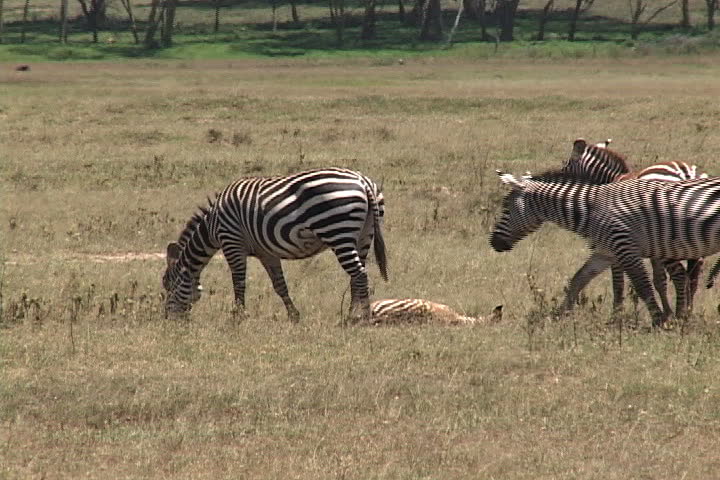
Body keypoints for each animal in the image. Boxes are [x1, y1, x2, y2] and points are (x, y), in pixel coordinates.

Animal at [163, 168, 388, 322]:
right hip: (363, 235)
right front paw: (293, 315)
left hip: (337, 230)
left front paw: (238, 317)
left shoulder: (232, 242)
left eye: (168, 286)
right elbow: (280, 285)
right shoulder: (266, 253)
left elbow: (238, 282)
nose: (167, 320)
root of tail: (363, 181)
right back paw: (351, 315)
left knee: (360, 274)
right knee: (355, 277)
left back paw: (363, 317)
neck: (212, 226)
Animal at [492, 170, 720, 330]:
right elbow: (577, 280)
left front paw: (658, 320)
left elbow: (642, 286)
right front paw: (559, 315)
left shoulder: (625, 247)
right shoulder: (606, 251)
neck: (590, 210)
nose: (493, 243)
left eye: (506, 210)